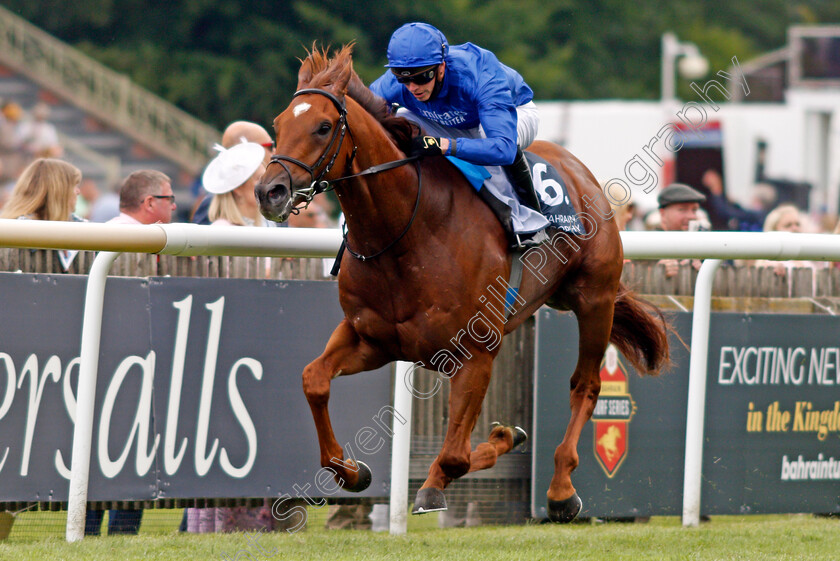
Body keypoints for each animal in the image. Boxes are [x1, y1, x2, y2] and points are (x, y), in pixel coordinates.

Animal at [256, 46, 668, 524]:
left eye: (323, 126)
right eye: (278, 124)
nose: (269, 192)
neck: (406, 232)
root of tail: (583, 173)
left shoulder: (475, 351)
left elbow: (455, 455)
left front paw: (436, 485)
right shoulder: (370, 339)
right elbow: (314, 379)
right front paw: (350, 471)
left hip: (595, 300)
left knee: (586, 386)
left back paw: (561, 491)